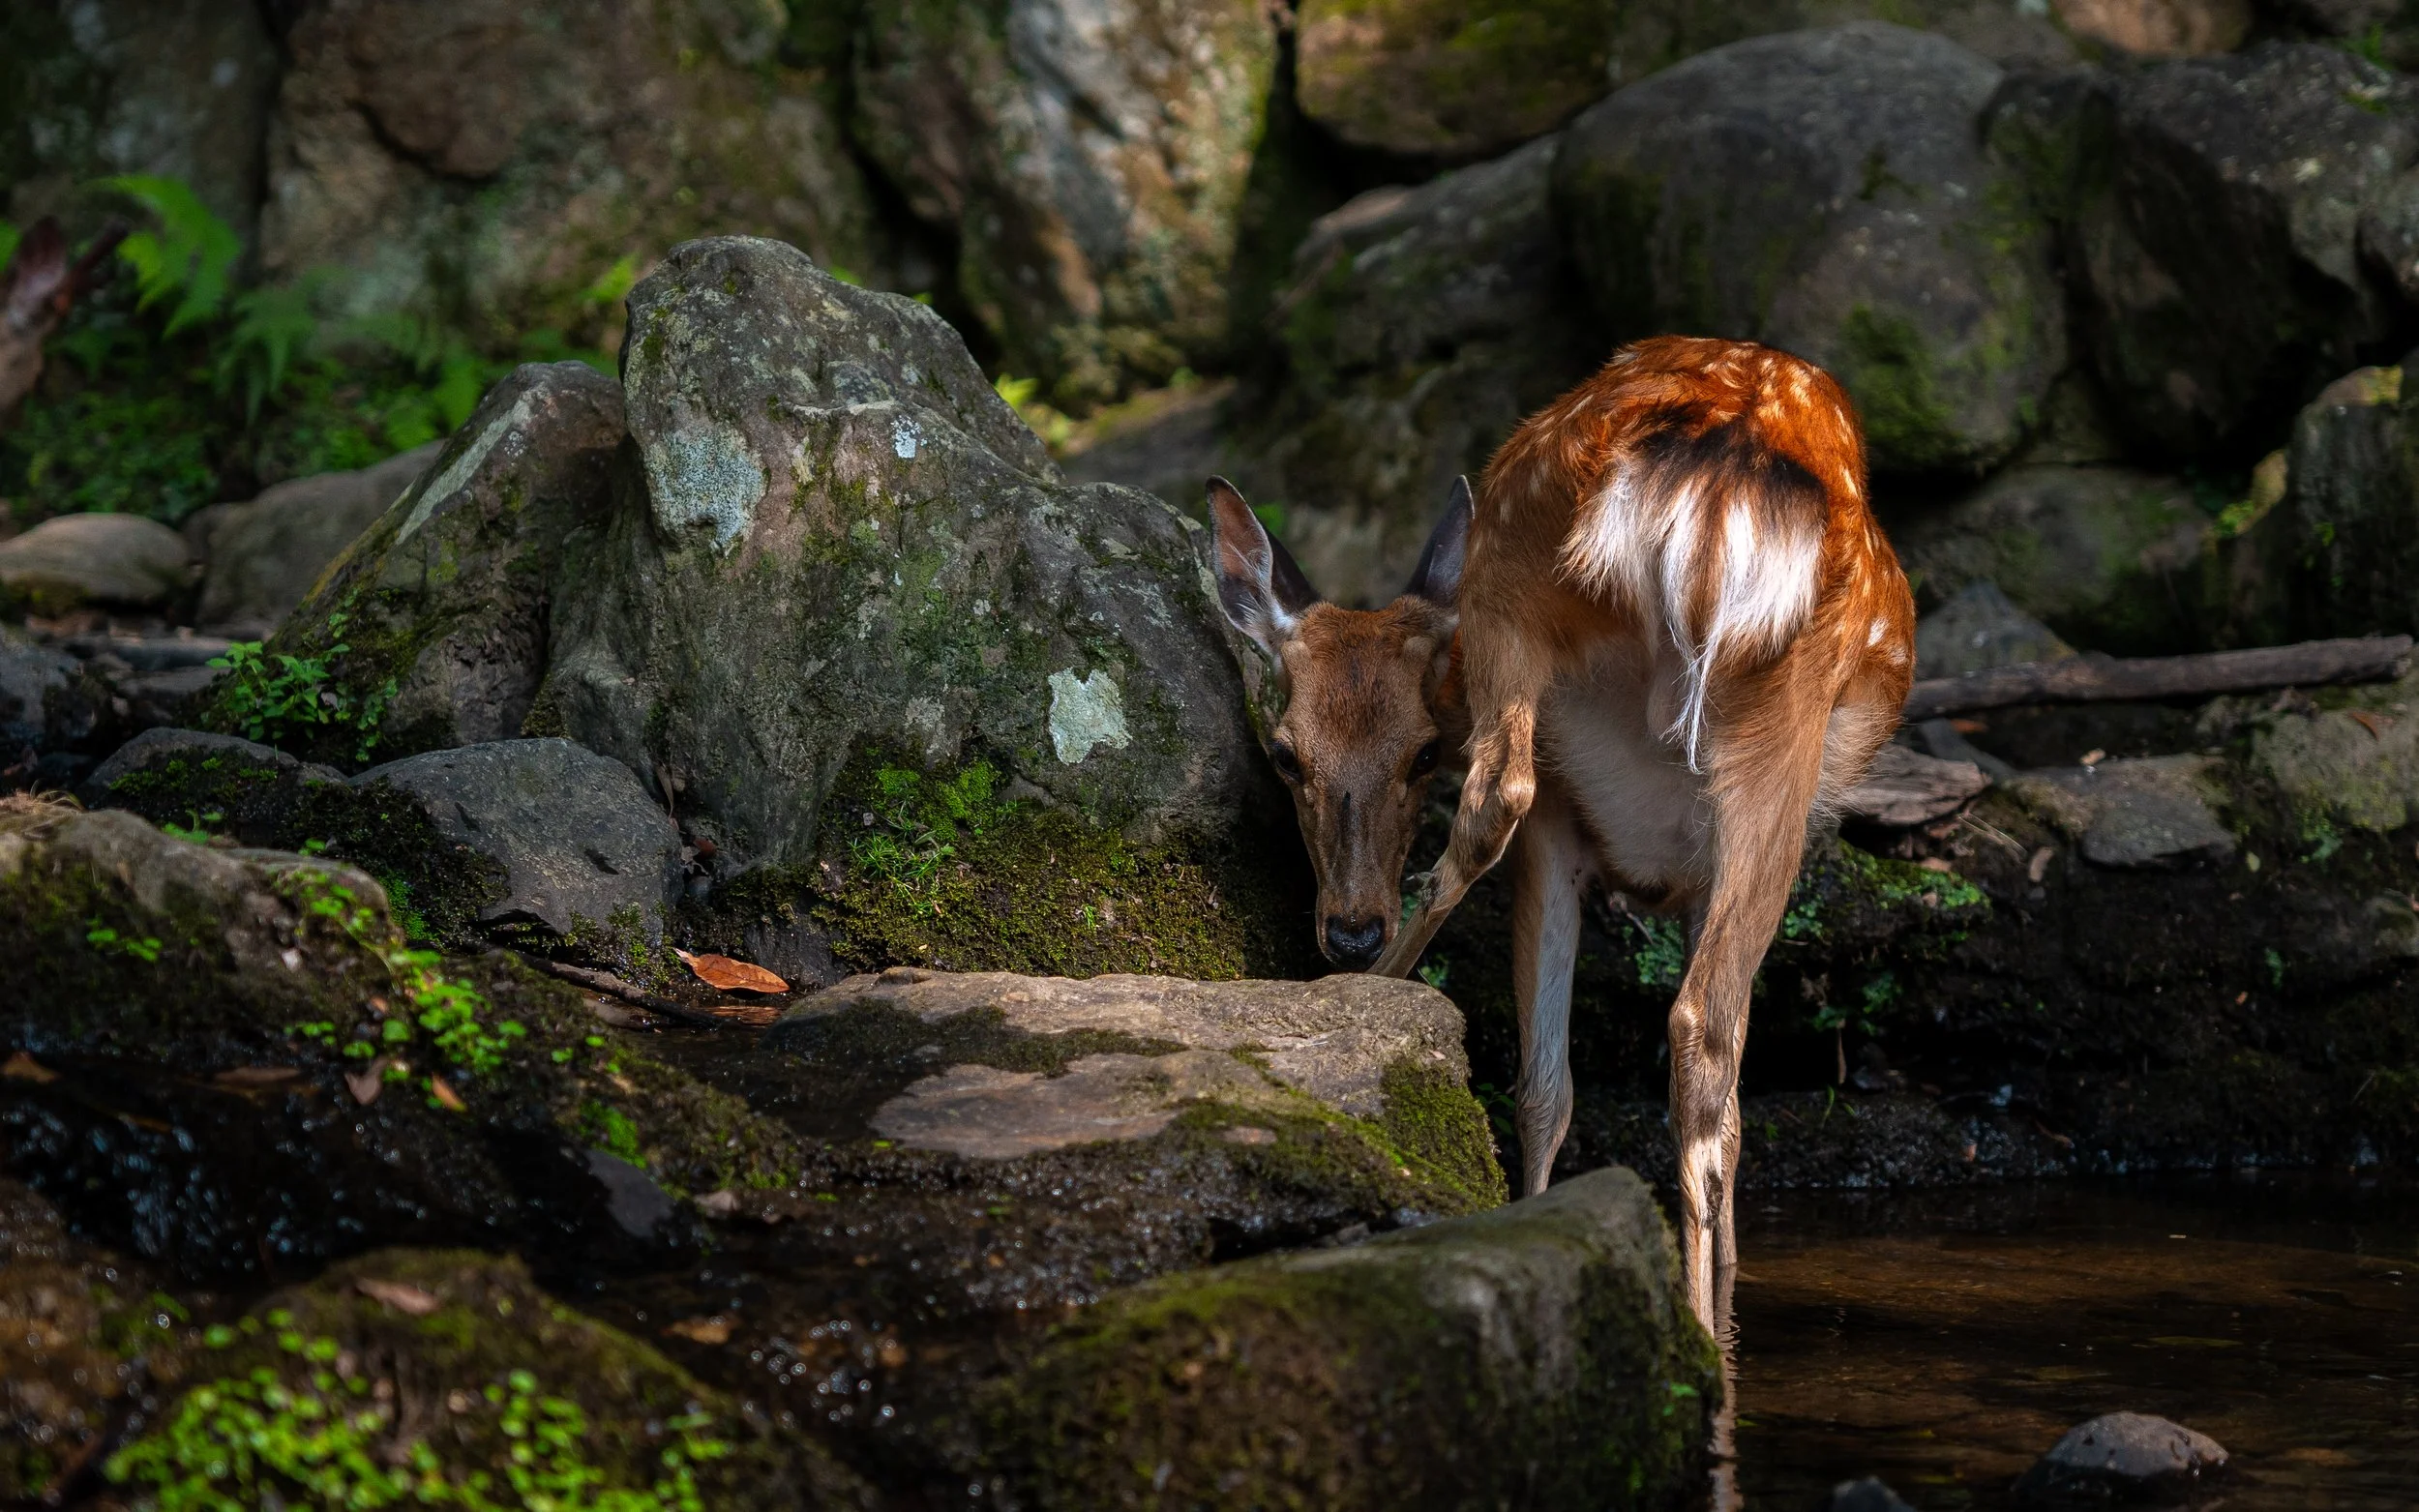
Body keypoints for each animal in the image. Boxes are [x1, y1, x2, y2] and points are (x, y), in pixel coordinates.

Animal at [1209, 335, 1915, 1323]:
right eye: (1286, 754)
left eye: (1423, 754)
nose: (1347, 927)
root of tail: (1718, 486)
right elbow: (1724, 1112)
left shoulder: (1559, 820)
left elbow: (1546, 1084)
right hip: (1782, 729)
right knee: (1707, 1028)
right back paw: (1705, 1326)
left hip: (1513, 590)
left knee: (1499, 800)